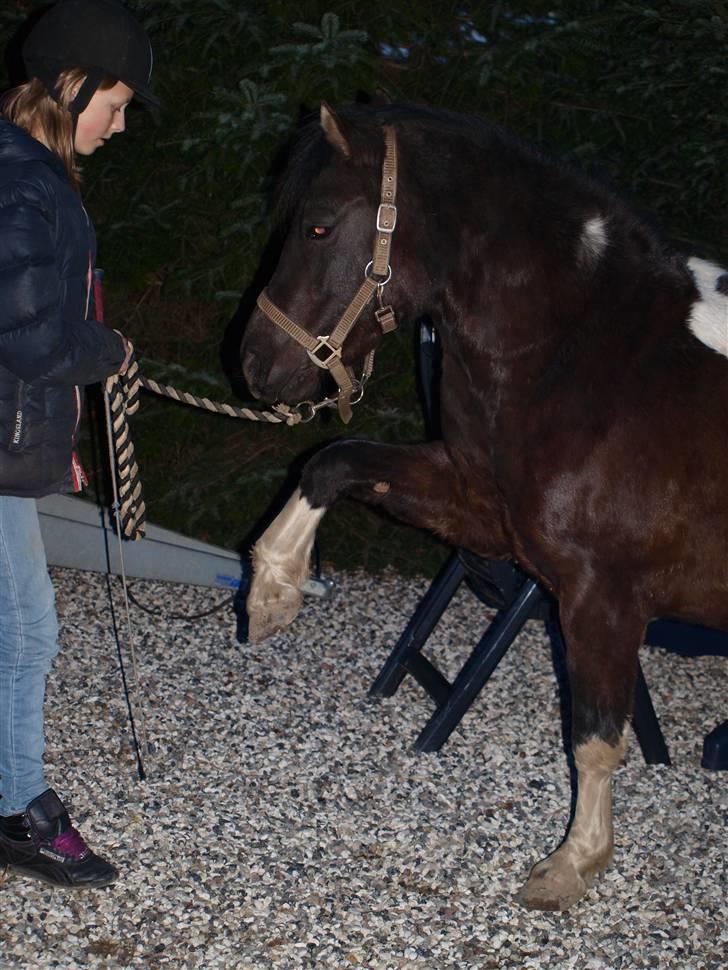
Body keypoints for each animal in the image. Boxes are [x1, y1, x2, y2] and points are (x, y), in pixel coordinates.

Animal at [240, 104, 728, 908]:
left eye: (317, 226)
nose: (253, 364)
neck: (594, 359)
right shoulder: (485, 515)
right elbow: (331, 461)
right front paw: (271, 592)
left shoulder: (603, 595)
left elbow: (595, 736)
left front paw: (573, 863)